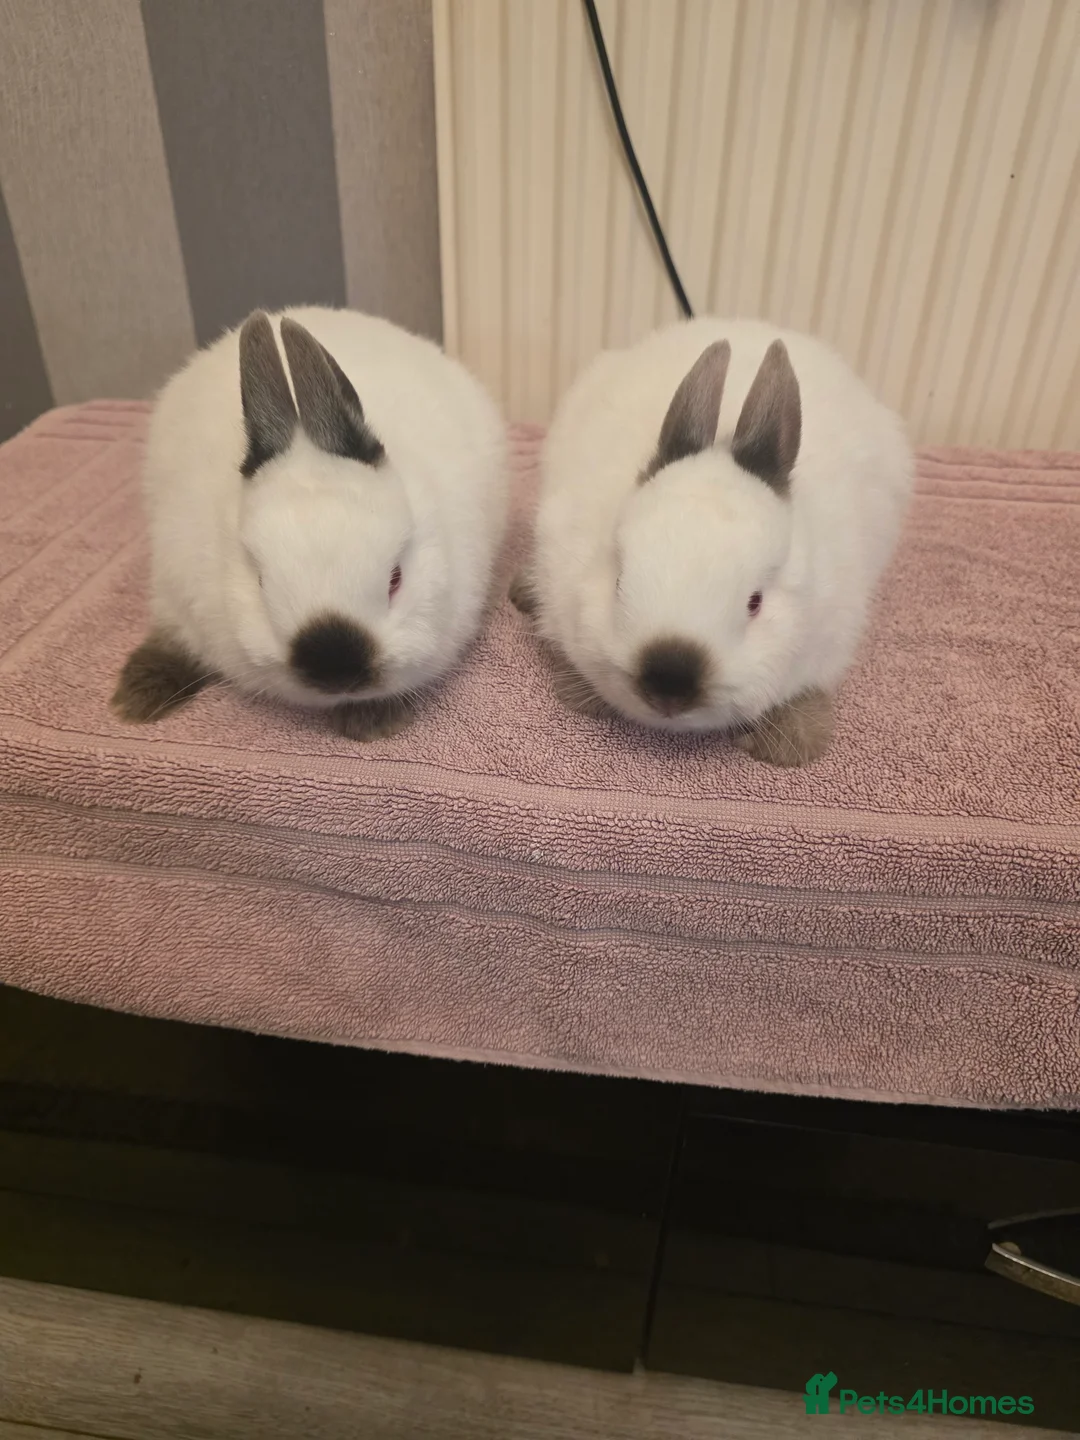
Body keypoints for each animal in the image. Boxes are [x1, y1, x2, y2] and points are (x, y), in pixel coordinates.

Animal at [112, 306, 507, 741]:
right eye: (260, 580)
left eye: (396, 579)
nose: (337, 671)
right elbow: (175, 639)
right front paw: (133, 702)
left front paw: (369, 722)